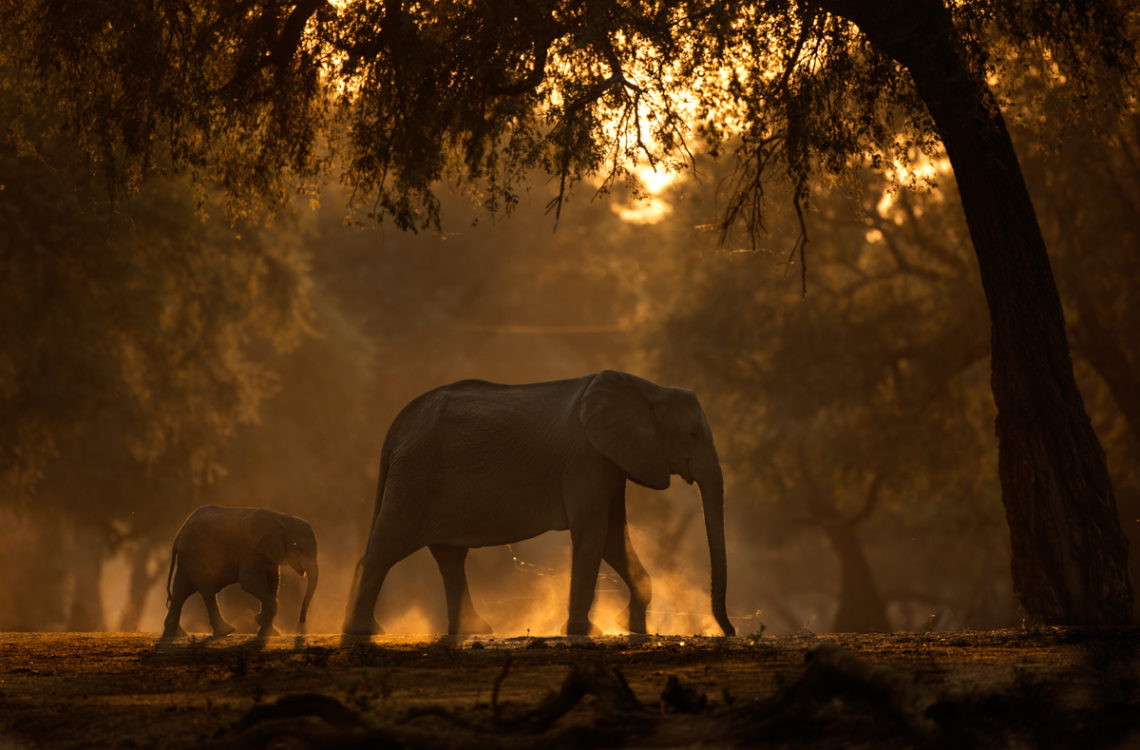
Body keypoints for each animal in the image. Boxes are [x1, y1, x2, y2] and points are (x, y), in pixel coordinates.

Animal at [339, 371, 729, 633]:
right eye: (693, 434)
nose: (730, 632)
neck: (648, 389)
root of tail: (395, 429)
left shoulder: (611, 459)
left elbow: (613, 535)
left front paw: (629, 626)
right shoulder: (585, 457)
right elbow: (595, 533)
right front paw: (585, 632)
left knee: (449, 556)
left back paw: (475, 630)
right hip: (416, 476)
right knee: (387, 547)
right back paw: (364, 632)